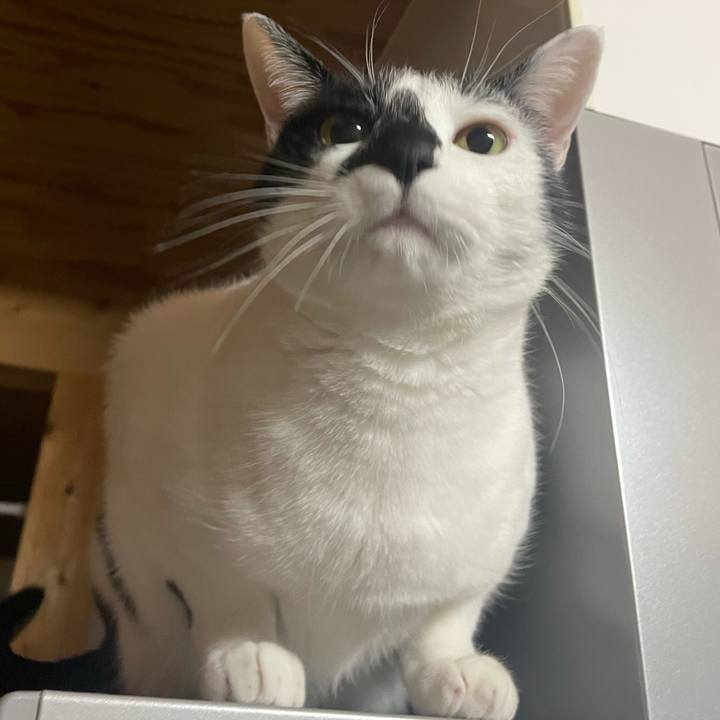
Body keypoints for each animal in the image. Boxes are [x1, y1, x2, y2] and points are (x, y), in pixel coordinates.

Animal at [1, 13, 602, 720]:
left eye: (483, 139)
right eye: (344, 130)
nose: (404, 150)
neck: (394, 382)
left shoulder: (489, 545)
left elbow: (447, 615)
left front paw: (454, 670)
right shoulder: (154, 472)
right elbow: (225, 588)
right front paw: (249, 654)